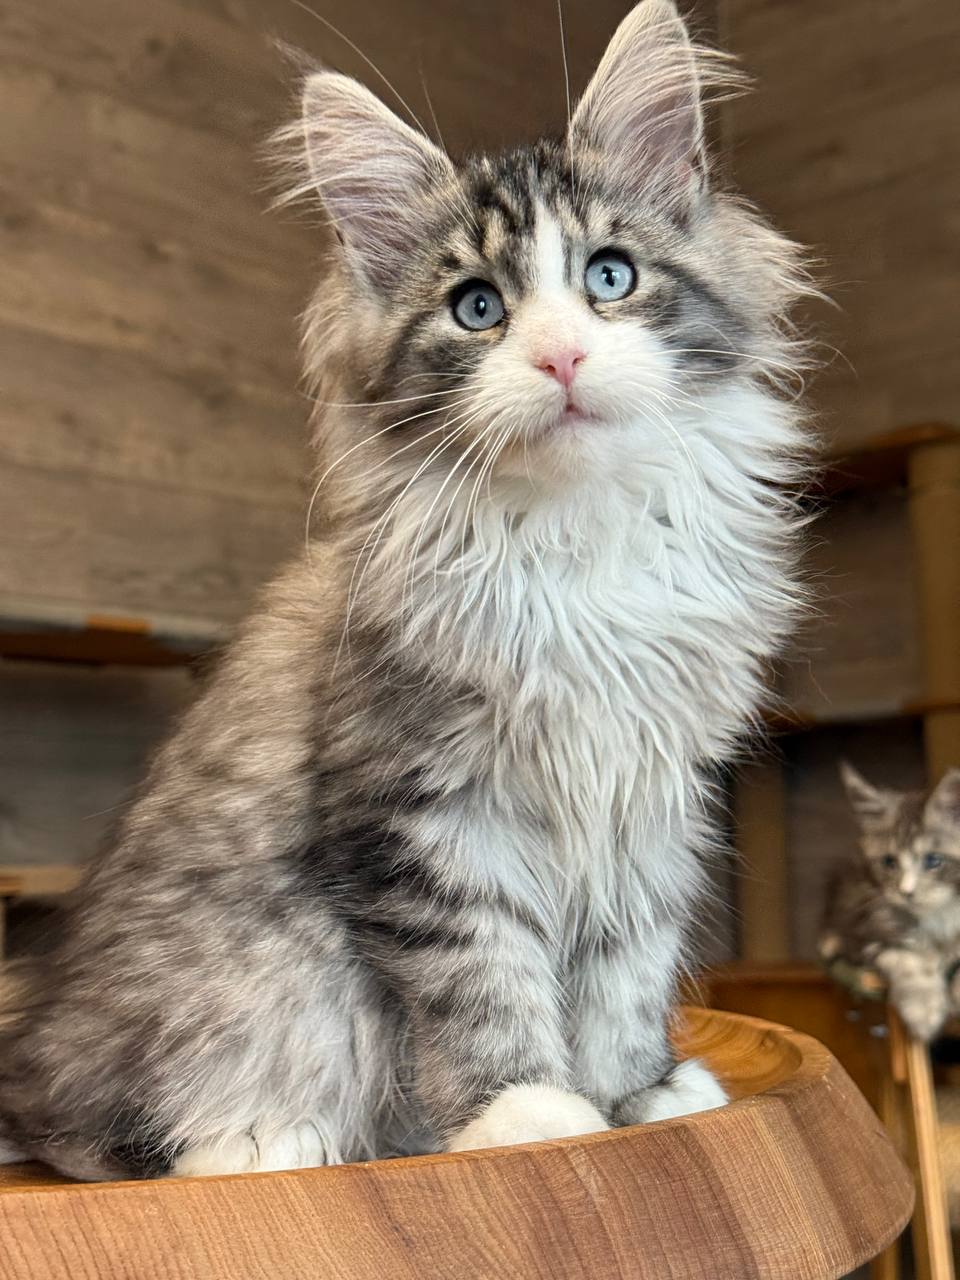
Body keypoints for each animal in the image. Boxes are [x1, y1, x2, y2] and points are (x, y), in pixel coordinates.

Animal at [0, 0, 812, 1180]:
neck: (574, 539)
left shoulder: (650, 796)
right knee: (126, 1136)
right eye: (477, 309)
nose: (562, 358)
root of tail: (36, 1044)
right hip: (258, 987)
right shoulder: (427, 807)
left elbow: (627, 966)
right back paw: (265, 1141)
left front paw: (638, 1095)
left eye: (610, 277)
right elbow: (482, 975)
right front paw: (528, 1112)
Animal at [819, 763, 960, 1041]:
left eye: (933, 860)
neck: (938, 915)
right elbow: (907, 958)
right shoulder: (864, 926)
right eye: (889, 862)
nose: (906, 892)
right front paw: (924, 1009)